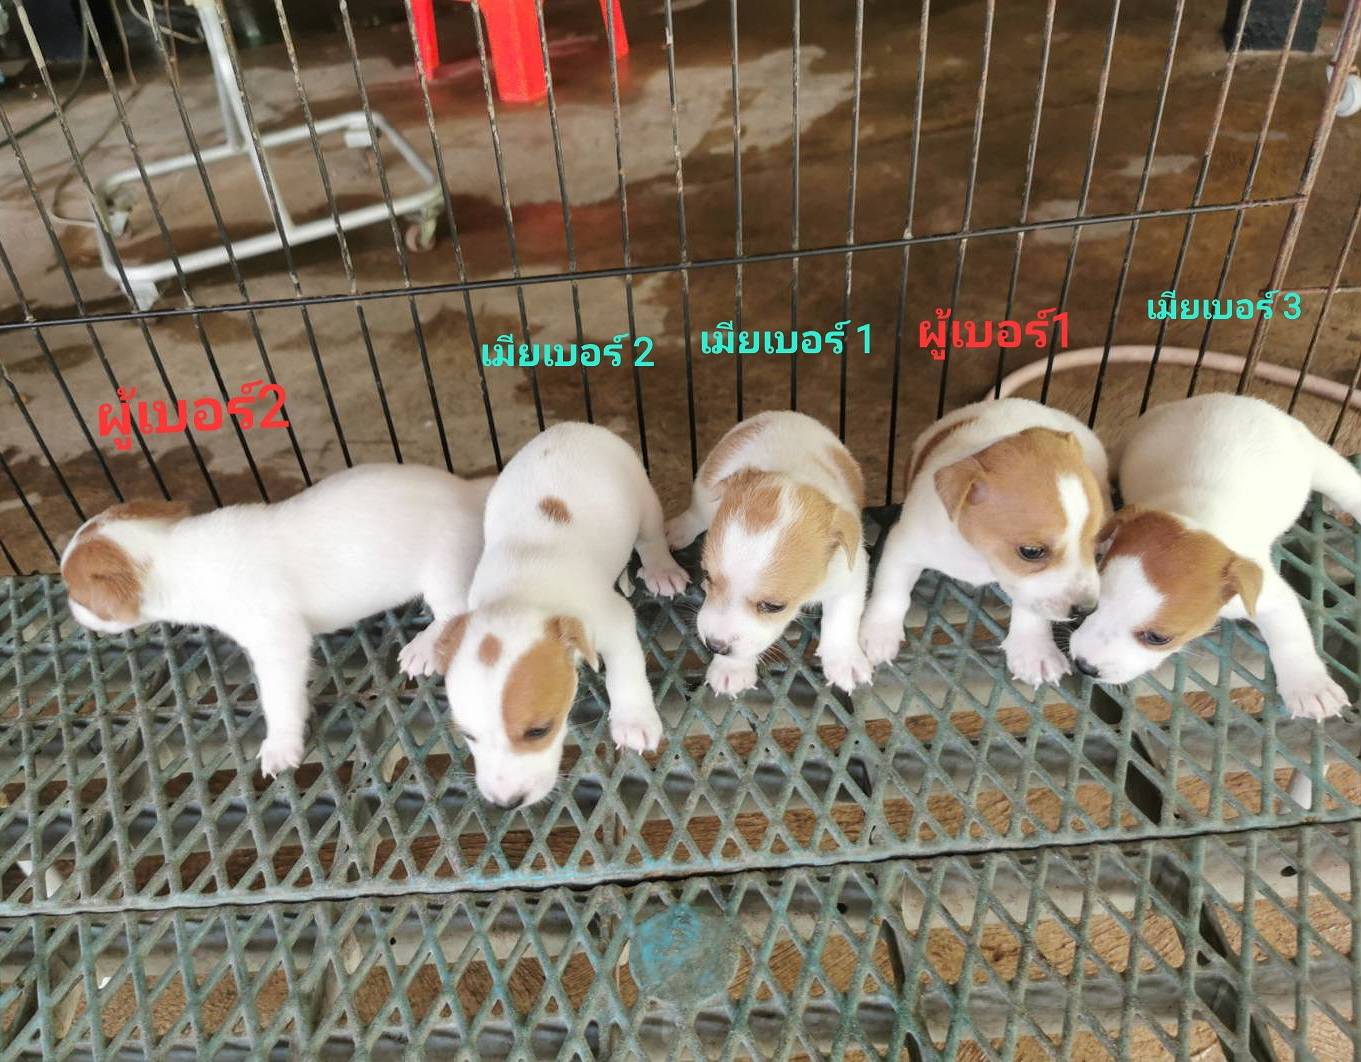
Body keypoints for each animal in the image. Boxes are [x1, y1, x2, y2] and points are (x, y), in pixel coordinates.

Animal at [61, 465, 493, 776]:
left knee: (455, 613)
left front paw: (281, 743)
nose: (70, 609)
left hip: (444, 574)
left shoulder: (277, 640)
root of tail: (468, 491)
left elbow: (278, 698)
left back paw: (427, 645)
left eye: (75, 593)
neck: (177, 553)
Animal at [422, 422, 688, 809]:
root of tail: (573, 426)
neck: (518, 593)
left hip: (643, 497)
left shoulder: (614, 620)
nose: (507, 803)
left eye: (539, 731)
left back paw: (662, 569)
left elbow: (626, 671)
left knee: (650, 538)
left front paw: (634, 719)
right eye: (468, 735)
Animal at [665, 410, 870, 694]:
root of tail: (786, 414)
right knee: (696, 513)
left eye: (773, 606)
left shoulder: (850, 575)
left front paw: (845, 659)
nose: (715, 646)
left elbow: (842, 619)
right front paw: (731, 668)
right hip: (705, 488)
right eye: (707, 576)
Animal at [859, 397, 1110, 686]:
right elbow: (892, 591)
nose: (1087, 610)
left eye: (1094, 540)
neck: (978, 555)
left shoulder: (1029, 587)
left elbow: (1032, 608)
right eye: (1031, 551)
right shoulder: (904, 547)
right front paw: (879, 631)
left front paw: (1034, 650)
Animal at [1068, 393, 1358, 719]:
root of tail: (1239, 400)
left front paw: (1309, 685)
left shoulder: (1267, 595)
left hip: (1322, 464)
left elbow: (1291, 637)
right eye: (1092, 607)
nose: (1084, 666)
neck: (1197, 518)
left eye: (1158, 638)